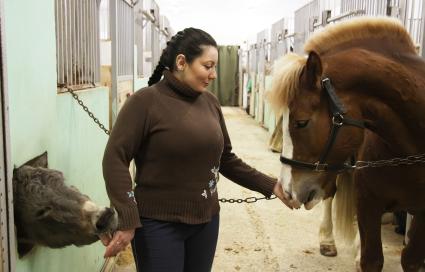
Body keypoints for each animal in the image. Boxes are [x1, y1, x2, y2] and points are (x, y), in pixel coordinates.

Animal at [268, 17, 424, 272]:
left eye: (301, 122)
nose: (287, 190)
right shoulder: (368, 202)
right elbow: (372, 260)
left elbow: (411, 260)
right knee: (330, 194)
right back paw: (328, 241)